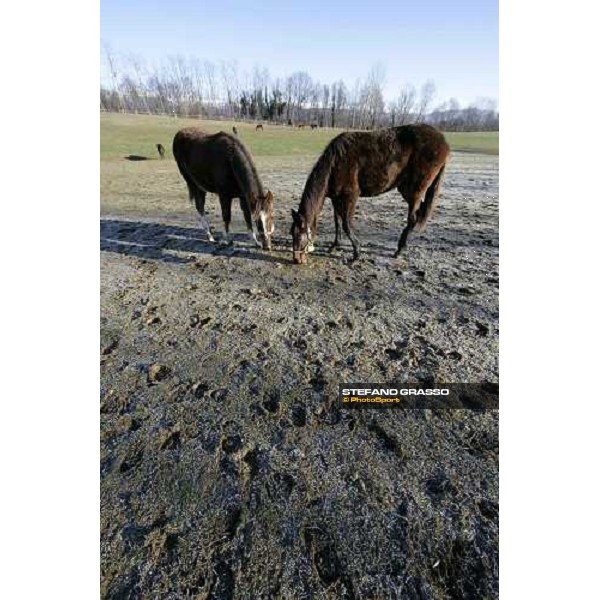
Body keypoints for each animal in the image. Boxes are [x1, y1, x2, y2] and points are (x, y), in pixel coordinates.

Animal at [288, 123, 448, 264]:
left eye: (300, 237)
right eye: (291, 234)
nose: (297, 260)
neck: (335, 163)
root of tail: (443, 143)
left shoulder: (351, 196)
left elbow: (346, 224)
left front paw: (356, 253)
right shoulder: (336, 197)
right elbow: (337, 222)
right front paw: (335, 246)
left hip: (414, 190)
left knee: (413, 218)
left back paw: (399, 250)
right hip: (407, 190)